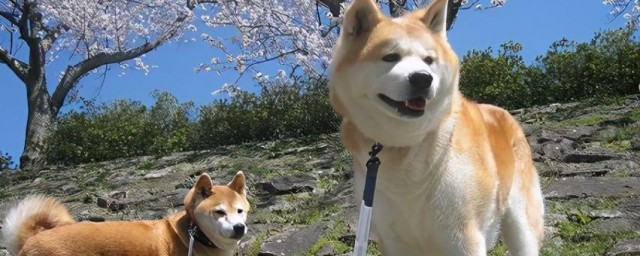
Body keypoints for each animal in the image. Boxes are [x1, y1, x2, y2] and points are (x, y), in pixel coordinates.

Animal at [330, 0, 544, 254]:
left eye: (428, 60)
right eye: (391, 57)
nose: (422, 78)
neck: (406, 144)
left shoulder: (462, 236)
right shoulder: (392, 239)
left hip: (520, 221)